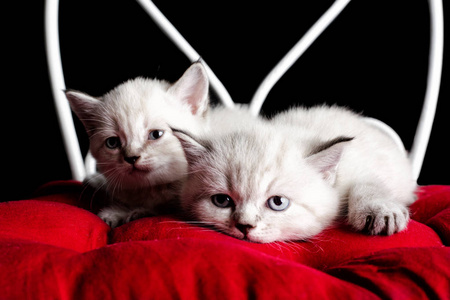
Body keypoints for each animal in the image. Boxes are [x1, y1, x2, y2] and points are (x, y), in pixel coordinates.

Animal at [173, 106, 418, 244]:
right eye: (222, 201)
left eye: (278, 202)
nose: (244, 226)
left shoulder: (362, 168)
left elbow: (367, 183)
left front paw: (380, 211)